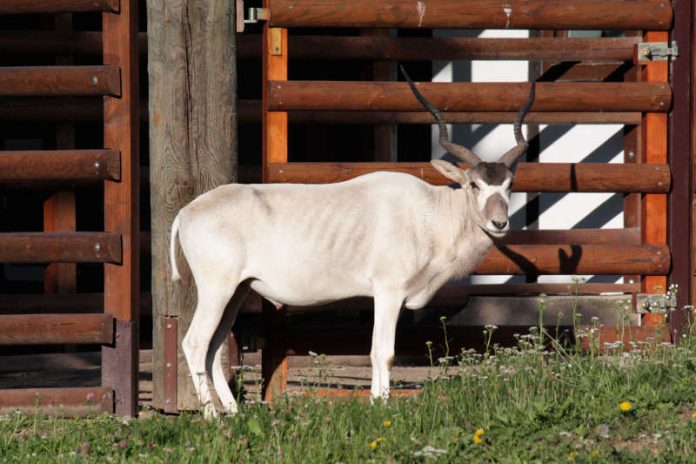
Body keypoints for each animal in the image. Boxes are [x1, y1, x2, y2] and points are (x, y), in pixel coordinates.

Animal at [171, 68, 536, 416]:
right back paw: (212, 417)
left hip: (237, 290)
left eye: (509, 184)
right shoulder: (389, 292)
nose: (499, 223)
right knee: (195, 342)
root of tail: (187, 212)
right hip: (217, 289)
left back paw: (233, 413)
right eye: (475, 185)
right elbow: (383, 352)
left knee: (214, 347)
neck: (430, 211)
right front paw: (382, 409)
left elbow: (376, 351)